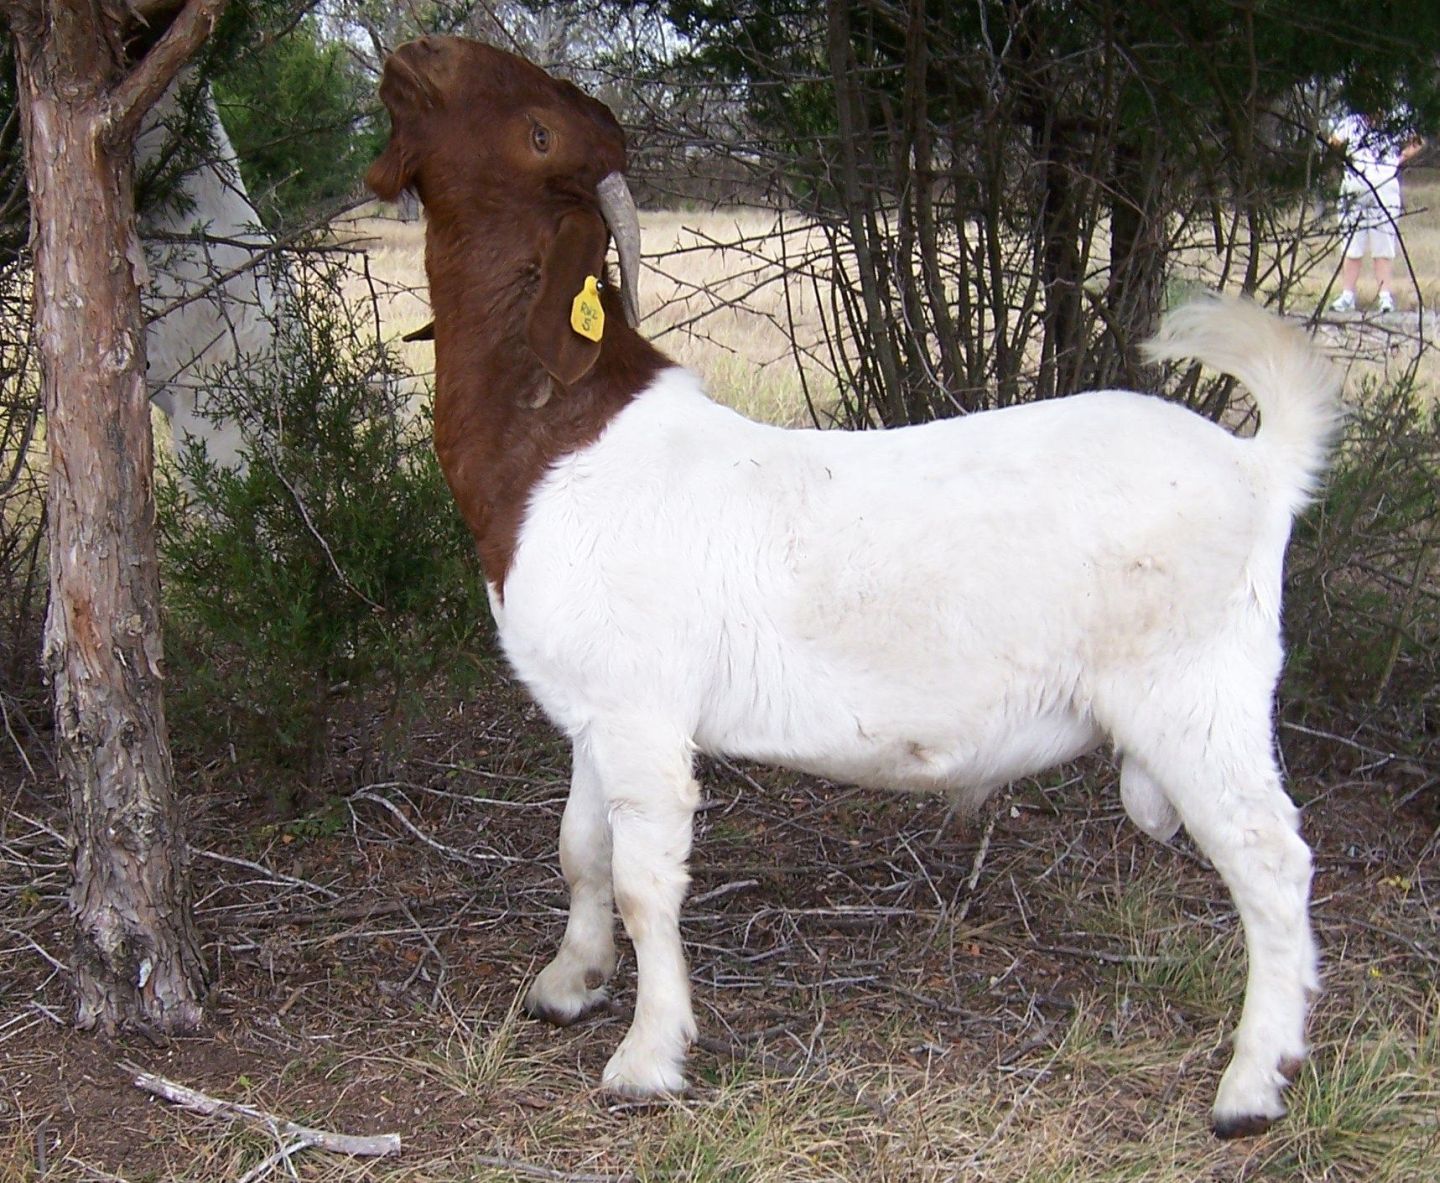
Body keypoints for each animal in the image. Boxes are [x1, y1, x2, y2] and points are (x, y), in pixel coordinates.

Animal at [367, 36, 1341, 1137]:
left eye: (537, 133)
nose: (417, 51)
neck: (561, 439)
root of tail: (1261, 466)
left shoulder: (644, 715)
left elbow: (646, 881)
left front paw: (649, 1056)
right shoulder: (595, 704)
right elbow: (581, 848)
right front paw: (570, 984)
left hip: (1196, 692)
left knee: (1271, 860)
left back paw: (1252, 1082)